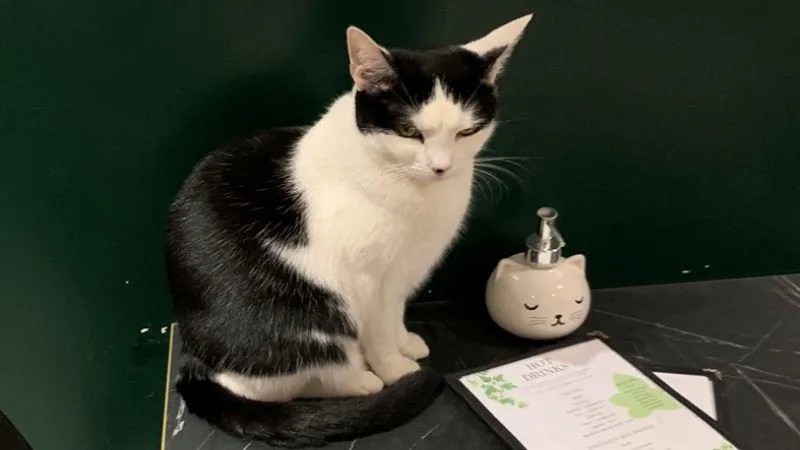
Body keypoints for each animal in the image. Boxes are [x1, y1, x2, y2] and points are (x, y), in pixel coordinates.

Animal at [164, 13, 532, 446]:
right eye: (409, 132)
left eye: (466, 132)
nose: (441, 167)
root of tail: (194, 359)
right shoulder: (366, 279)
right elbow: (377, 331)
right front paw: (395, 369)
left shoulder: (402, 272)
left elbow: (394, 315)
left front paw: (405, 343)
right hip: (309, 316)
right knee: (273, 383)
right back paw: (360, 381)